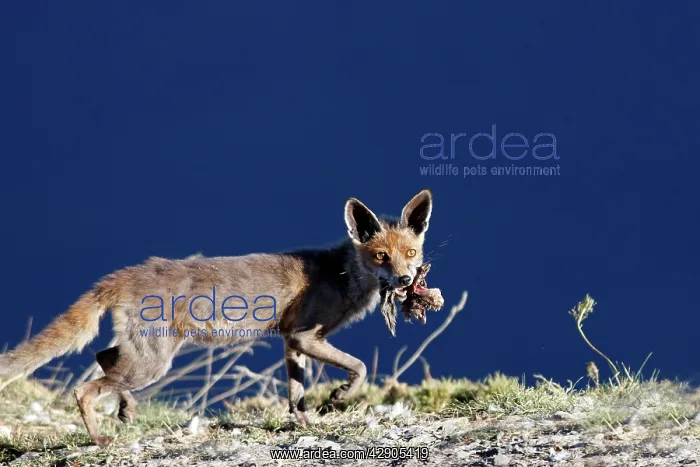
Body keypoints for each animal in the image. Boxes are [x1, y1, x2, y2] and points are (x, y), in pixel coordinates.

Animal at [0, 189, 434, 447]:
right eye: (381, 256)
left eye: (410, 253)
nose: (405, 280)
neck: (340, 277)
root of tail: (123, 273)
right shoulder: (306, 336)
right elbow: (359, 368)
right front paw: (339, 397)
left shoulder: (292, 341)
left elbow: (296, 393)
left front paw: (303, 423)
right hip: (152, 364)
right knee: (84, 388)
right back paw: (100, 441)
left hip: (145, 358)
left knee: (103, 358)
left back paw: (126, 411)